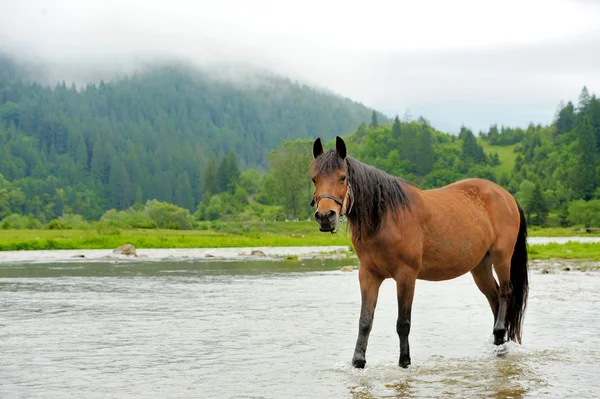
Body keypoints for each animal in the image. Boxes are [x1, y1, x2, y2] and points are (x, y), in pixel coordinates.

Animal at [312, 137, 528, 368]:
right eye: (314, 179)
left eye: (342, 177)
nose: (325, 216)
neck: (386, 217)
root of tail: (506, 196)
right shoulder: (369, 275)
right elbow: (365, 321)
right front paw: (358, 361)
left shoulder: (406, 276)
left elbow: (403, 322)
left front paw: (404, 361)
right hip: (480, 266)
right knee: (493, 297)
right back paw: (499, 341)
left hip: (501, 257)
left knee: (505, 292)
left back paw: (500, 333)